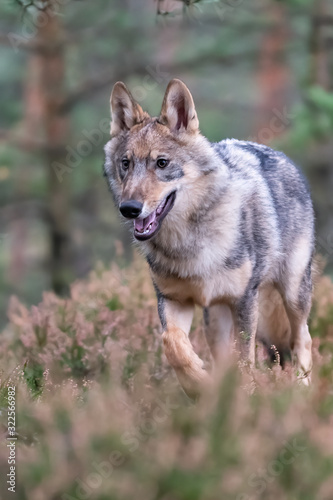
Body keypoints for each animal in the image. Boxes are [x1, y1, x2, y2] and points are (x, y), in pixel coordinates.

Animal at [104, 80, 314, 396]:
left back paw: (303, 390)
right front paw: (198, 384)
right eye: (126, 163)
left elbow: (245, 358)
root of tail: (281, 156)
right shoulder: (172, 300)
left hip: (292, 293)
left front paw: (245, 397)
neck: (188, 242)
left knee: (303, 338)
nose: (129, 208)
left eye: (162, 163)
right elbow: (172, 344)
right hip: (215, 319)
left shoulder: (245, 300)